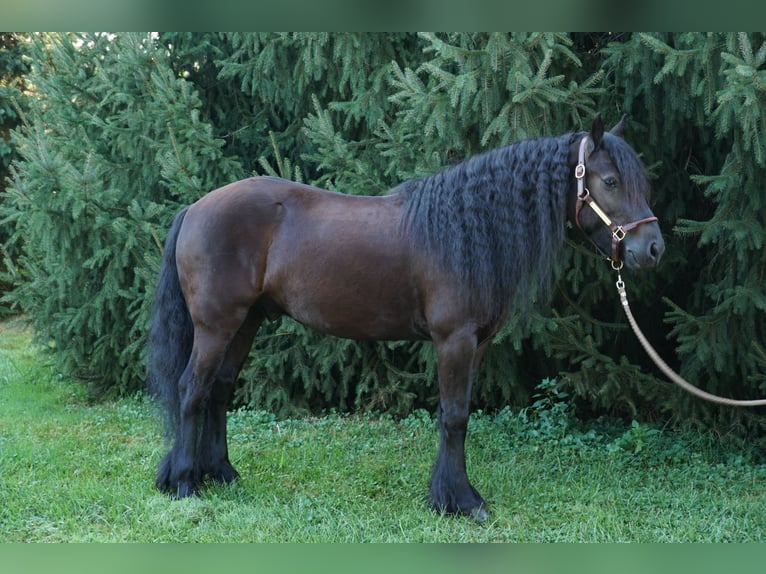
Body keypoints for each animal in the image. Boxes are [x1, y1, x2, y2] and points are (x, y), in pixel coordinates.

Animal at [147, 114, 664, 520]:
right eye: (610, 181)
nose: (653, 249)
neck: (466, 232)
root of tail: (195, 207)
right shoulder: (453, 340)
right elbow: (454, 416)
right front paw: (459, 501)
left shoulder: (477, 344)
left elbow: (459, 414)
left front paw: (452, 495)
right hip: (216, 325)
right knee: (192, 389)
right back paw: (186, 483)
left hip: (246, 322)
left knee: (219, 390)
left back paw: (223, 474)